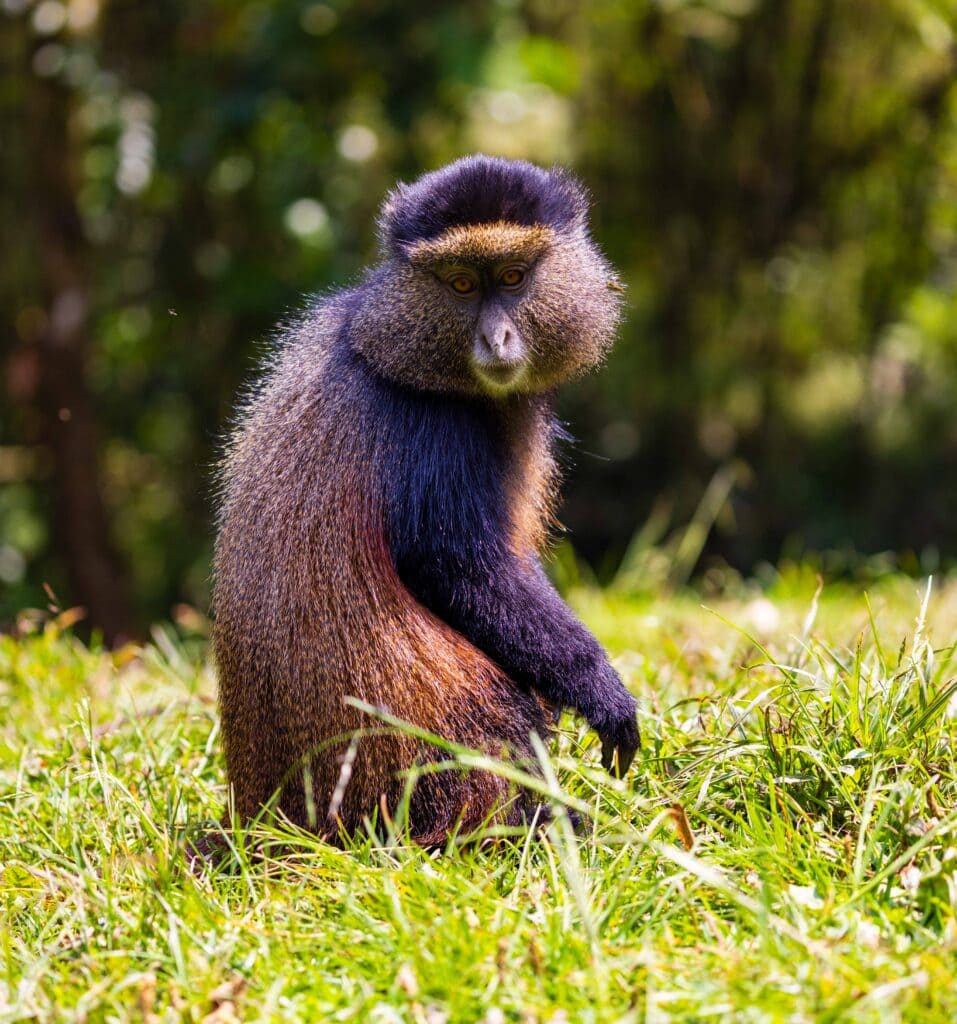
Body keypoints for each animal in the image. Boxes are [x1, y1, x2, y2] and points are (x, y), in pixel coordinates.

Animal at [213, 154, 639, 845]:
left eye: (513, 278)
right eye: (461, 284)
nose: (497, 339)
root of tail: (268, 820)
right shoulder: (436, 429)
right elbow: (455, 563)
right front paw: (599, 690)